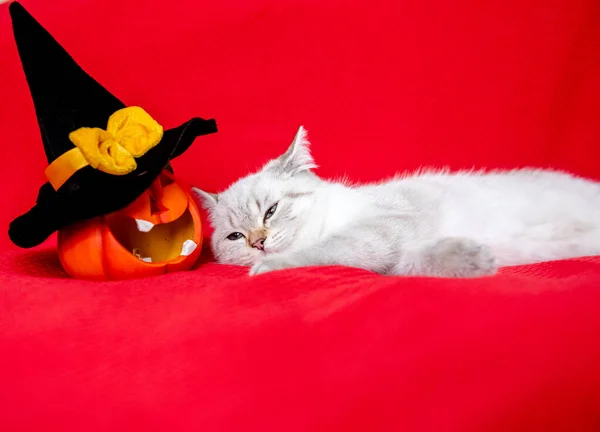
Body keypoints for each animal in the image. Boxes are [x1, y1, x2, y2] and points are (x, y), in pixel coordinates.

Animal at [195, 126, 600, 278]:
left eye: (271, 211)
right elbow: (412, 264)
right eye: (235, 237)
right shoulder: (395, 257)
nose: (258, 243)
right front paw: (475, 260)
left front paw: (268, 268)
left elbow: (334, 249)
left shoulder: (387, 223)